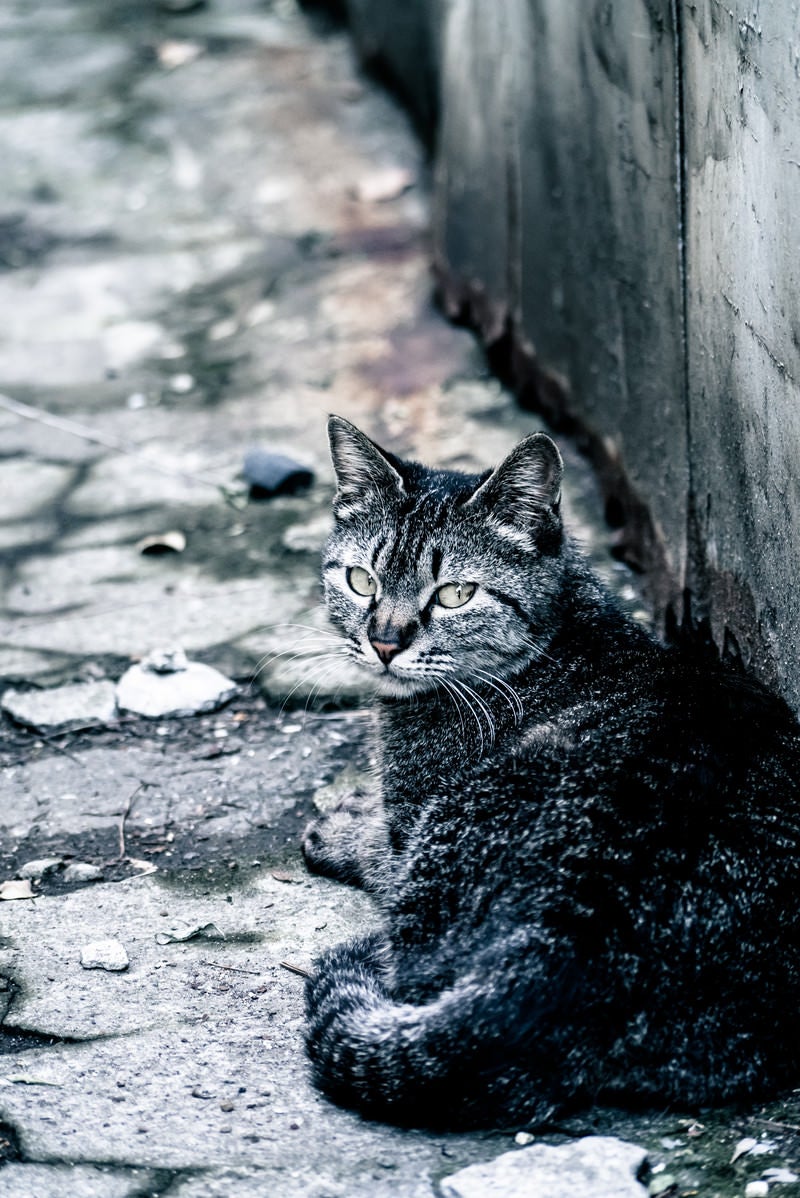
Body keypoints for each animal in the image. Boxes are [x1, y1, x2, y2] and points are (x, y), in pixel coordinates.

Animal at [299, 419, 800, 1130]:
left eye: (455, 594)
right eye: (361, 581)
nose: (385, 642)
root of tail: (568, 947)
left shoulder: (410, 826)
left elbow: (378, 849)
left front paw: (343, 821)